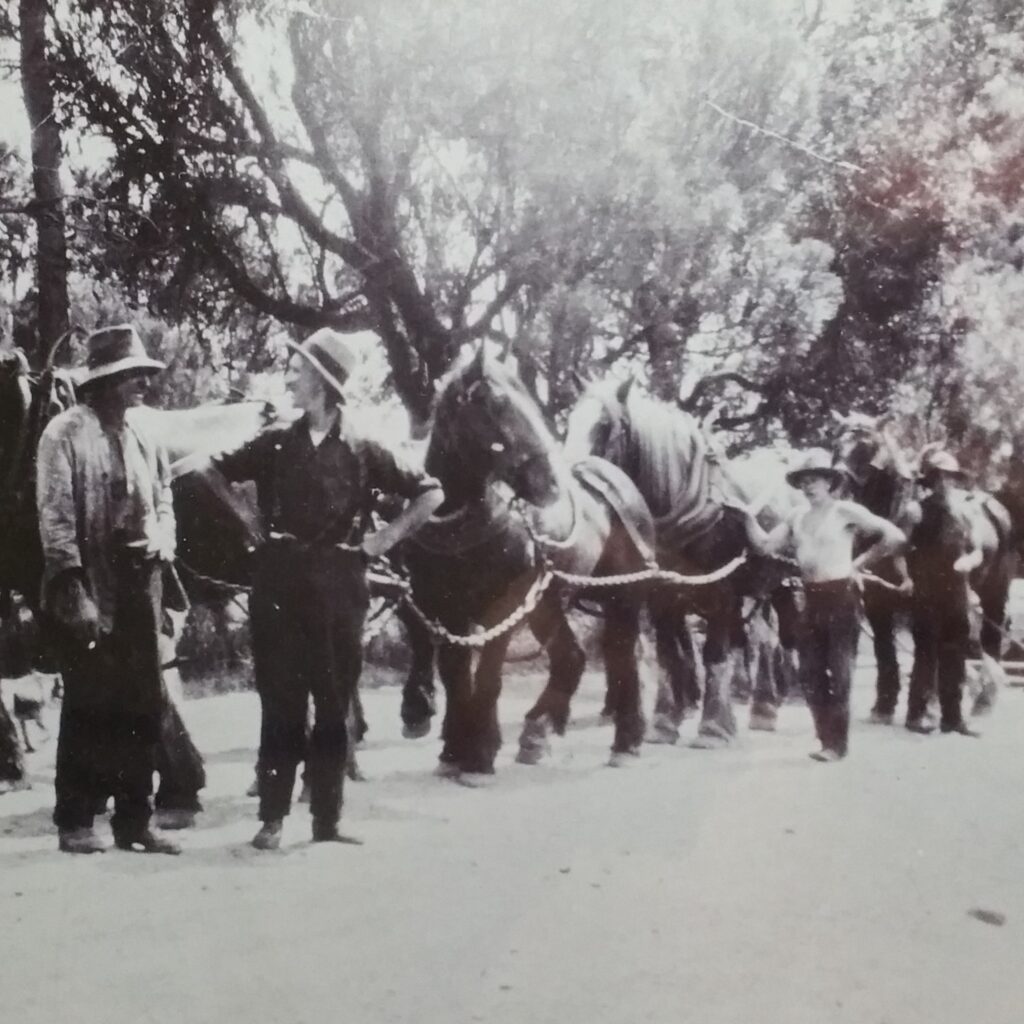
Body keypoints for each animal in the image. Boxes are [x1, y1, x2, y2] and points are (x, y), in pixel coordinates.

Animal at [399, 348, 655, 778]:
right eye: (498, 404)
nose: (550, 483)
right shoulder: (446, 609)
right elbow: (455, 674)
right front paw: (455, 749)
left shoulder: (504, 605)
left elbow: (488, 674)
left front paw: (479, 755)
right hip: (548, 601)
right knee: (572, 658)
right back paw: (537, 732)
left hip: (622, 595)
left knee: (622, 657)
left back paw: (626, 740)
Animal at [565, 376, 794, 745]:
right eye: (570, 422)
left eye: (603, 426)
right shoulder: (662, 594)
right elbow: (668, 655)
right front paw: (663, 722)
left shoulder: (722, 592)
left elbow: (714, 653)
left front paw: (713, 726)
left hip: (779, 583)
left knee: (768, 641)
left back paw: (764, 705)